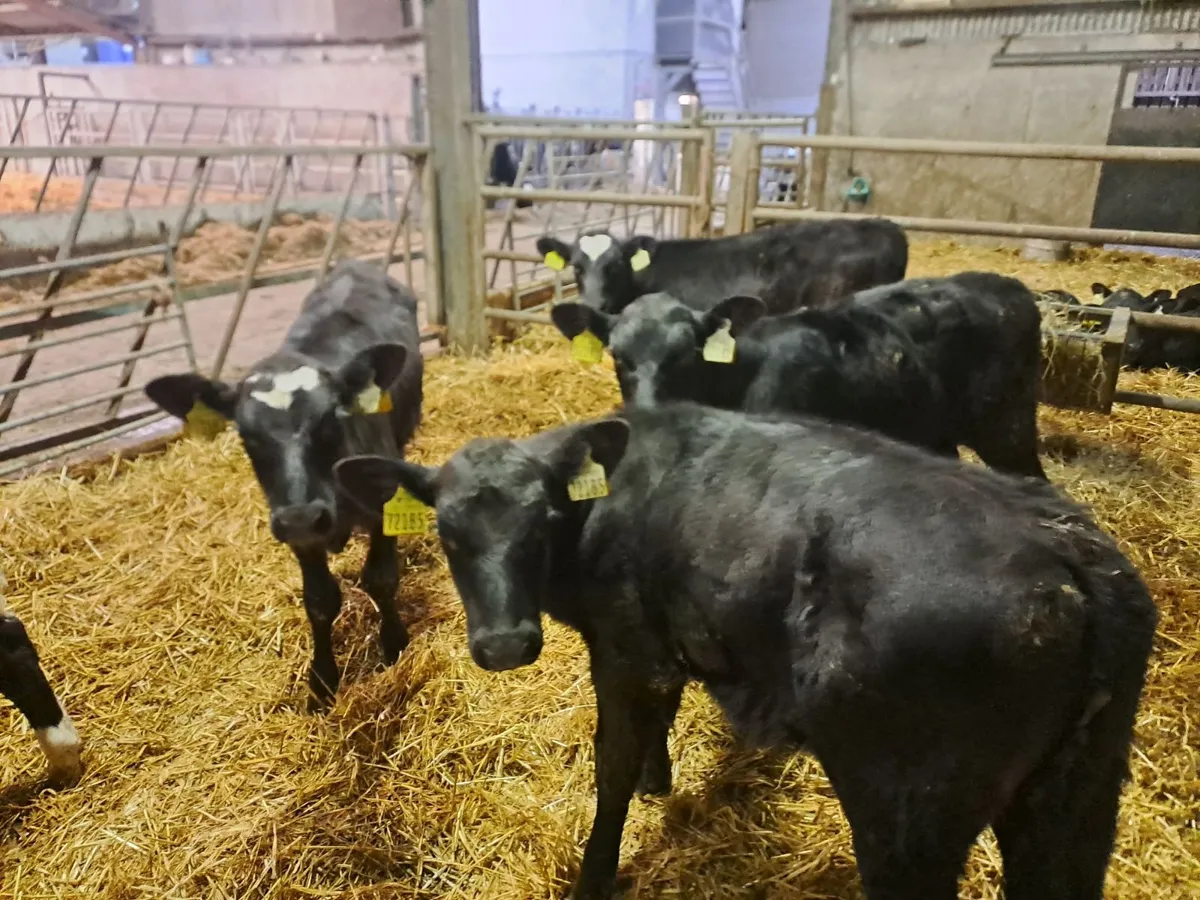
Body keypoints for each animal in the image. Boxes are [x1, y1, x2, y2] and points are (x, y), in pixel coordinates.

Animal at [143, 260, 424, 710]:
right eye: (246, 436)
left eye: (330, 421)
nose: (303, 518)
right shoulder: (299, 530)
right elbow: (320, 601)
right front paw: (322, 680)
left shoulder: (381, 504)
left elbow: (381, 579)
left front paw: (394, 643)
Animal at [332, 402, 1156, 900]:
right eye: (447, 534)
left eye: (545, 520)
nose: (505, 643)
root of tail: (1064, 550)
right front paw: (660, 782)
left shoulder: (626, 650)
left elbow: (612, 765)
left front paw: (596, 873)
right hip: (1075, 797)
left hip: (909, 812)